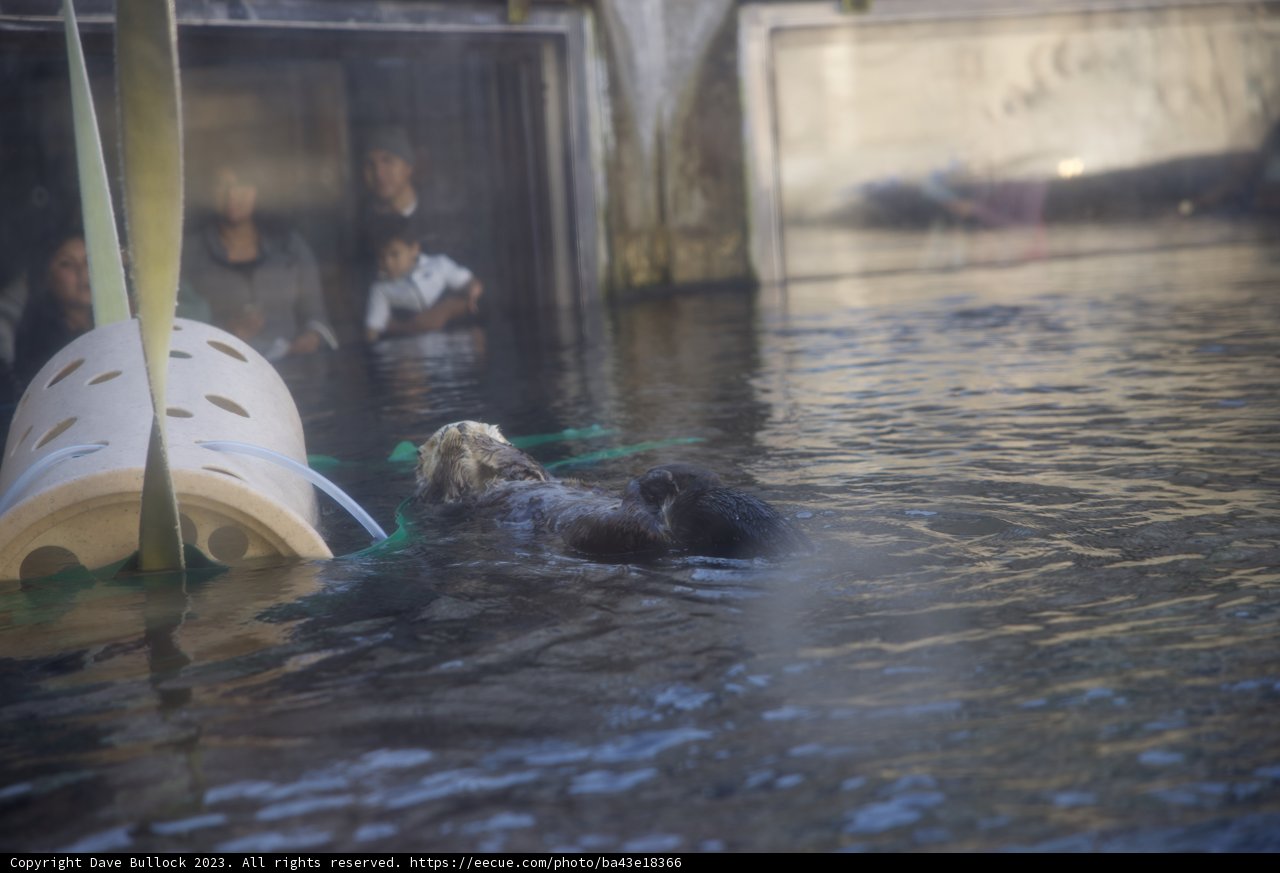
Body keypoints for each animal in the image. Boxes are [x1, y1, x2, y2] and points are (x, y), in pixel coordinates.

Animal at [414, 421, 806, 559]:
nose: (461, 425)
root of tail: (673, 523)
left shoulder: (528, 475)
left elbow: (531, 466)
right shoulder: (459, 499)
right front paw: (462, 443)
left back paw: (674, 474)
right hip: (606, 531)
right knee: (639, 516)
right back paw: (652, 480)